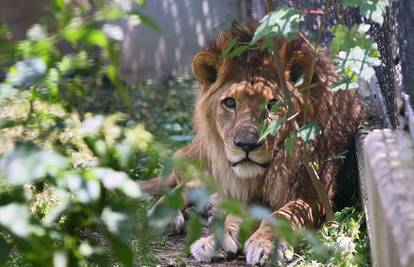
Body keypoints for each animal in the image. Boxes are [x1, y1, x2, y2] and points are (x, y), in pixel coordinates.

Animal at [142, 21, 366, 266]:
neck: (276, 166)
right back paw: (163, 215)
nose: (246, 145)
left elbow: (284, 215)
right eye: (230, 103)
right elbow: (234, 218)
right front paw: (216, 241)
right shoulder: (247, 192)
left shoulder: (318, 194)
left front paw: (265, 244)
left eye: (273, 104)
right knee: (185, 183)